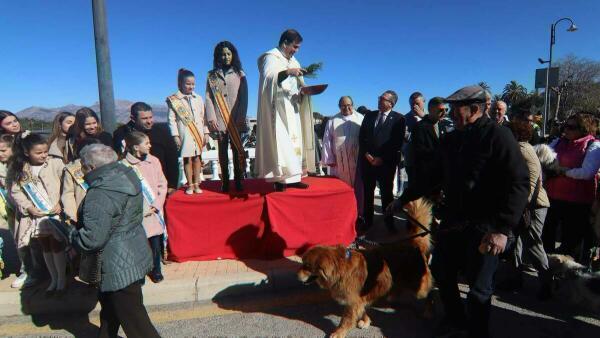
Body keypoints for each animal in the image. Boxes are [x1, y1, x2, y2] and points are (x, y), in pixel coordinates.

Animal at [298, 199, 434, 336]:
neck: (340, 268)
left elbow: (346, 320)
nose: (297, 276)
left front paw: (339, 332)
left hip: (419, 287)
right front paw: (366, 321)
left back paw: (428, 311)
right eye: (302, 263)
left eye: (307, 266)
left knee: (429, 292)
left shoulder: (352, 302)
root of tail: (414, 244)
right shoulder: (359, 299)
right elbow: (363, 309)